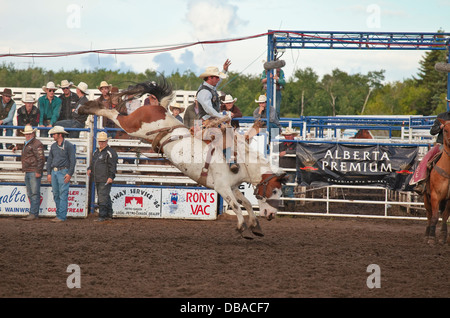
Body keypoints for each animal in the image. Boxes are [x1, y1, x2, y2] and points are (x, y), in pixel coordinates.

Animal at [79, 80, 286, 238]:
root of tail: (159, 107)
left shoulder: (233, 187)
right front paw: (242, 227)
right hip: (132, 125)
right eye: (275, 190)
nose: (271, 214)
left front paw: (255, 226)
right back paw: (85, 108)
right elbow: (236, 205)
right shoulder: (222, 187)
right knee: (113, 114)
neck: (240, 160)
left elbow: (247, 203)